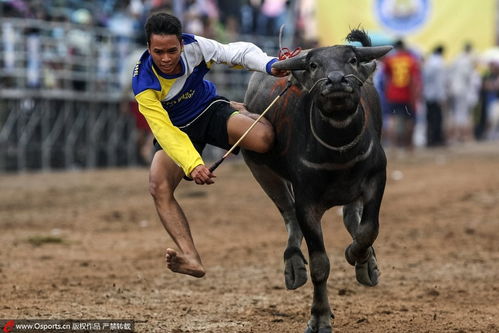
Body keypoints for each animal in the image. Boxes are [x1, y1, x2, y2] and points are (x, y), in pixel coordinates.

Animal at [243, 29, 394, 330]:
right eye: (314, 65)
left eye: (351, 60)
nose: (336, 81)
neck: (338, 148)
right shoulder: (307, 203)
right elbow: (320, 264)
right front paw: (319, 317)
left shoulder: (376, 178)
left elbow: (368, 229)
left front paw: (358, 256)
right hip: (261, 171)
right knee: (289, 216)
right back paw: (293, 266)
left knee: (351, 217)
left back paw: (367, 265)